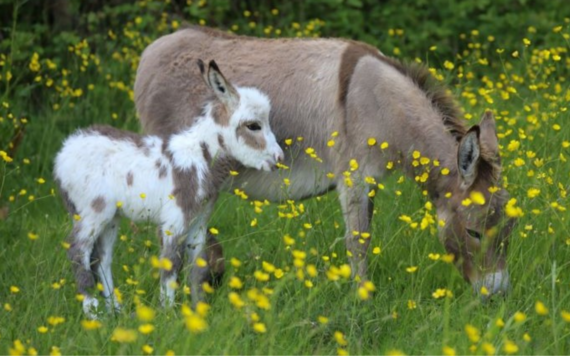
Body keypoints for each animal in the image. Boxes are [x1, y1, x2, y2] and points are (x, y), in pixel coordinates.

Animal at [53, 59, 284, 318]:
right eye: (253, 126)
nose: (279, 158)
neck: (201, 157)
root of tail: (65, 150)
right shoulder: (174, 221)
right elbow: (171, 264)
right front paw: (167, 313)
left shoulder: (198, 222)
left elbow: (198, 268)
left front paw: (198, 312)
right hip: (92, 212)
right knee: (77, 251)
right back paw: (92, 315)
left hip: (110, 217)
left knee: (101, 259)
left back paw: (115, 312)